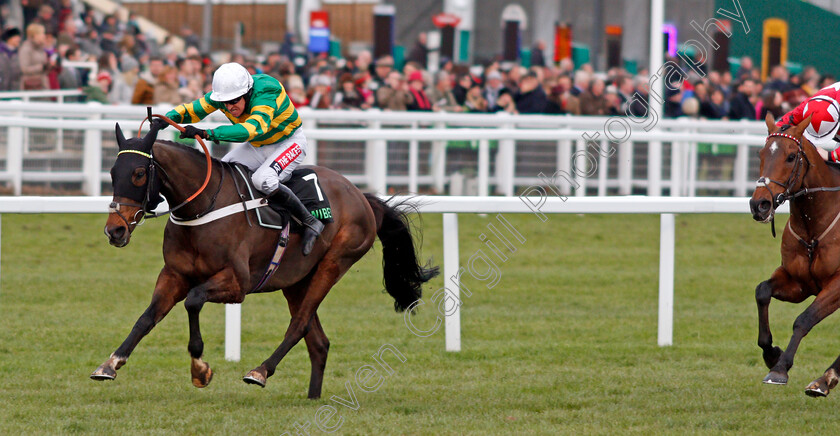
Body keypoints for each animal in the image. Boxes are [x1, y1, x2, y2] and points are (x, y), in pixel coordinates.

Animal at [92, 123, 440, 398]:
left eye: (139, 173)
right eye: (112, 173)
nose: (114, 230)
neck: (203, 207)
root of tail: (362, 196)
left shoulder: (237, 284)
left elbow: (193, 300)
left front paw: (200, 368)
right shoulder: (174, 275)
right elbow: (146, 318)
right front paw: (110, 363)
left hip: (334, 264)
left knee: (300, 325)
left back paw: (260, 371)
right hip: (296, 280)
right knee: (319, 341)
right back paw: (312, 397)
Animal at [752, 113, 840, 398]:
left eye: (791, 156)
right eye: (760, 154)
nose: (759, 204)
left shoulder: (837, 284)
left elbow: (804, 319)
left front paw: (780, 369)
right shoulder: (799, 282)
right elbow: (762, 291)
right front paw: (771, 354)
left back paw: (825, 378)